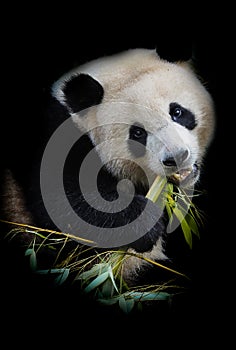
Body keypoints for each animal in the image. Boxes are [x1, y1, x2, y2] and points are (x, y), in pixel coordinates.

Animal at [0, 47, 216, 298]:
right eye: (138, 133)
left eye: (177, 112)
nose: (177, 157)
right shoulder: (53, 140)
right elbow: (67, 207)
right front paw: (144, 221)